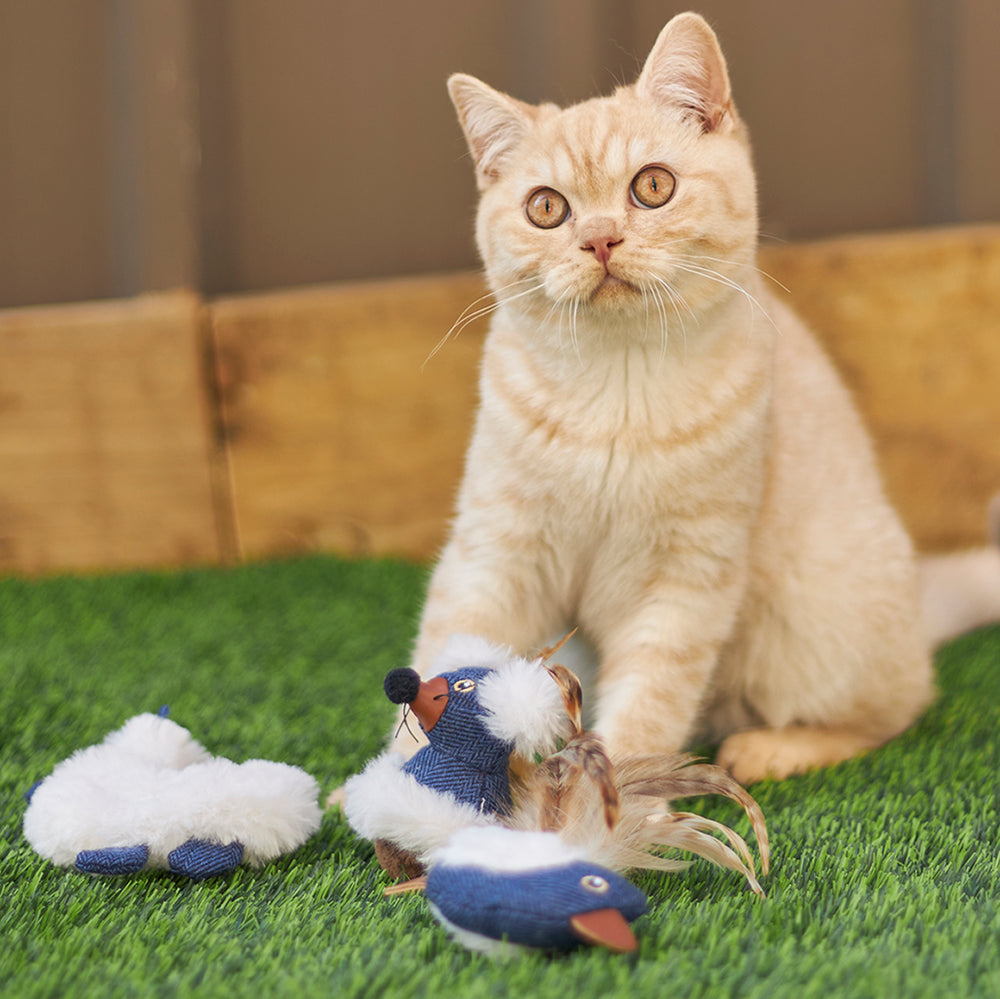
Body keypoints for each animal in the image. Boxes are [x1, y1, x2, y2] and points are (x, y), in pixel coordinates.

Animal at [402, 11, 996, 784]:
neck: (616, 388)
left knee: (896, 708)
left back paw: (770, 748)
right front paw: (401, 779)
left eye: (652, 186)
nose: (599, 239)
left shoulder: (688, 577)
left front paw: (611, 800)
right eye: (546, 208)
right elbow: (450, 642)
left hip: (819, 620)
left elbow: (651, 697)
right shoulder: (496, 549)